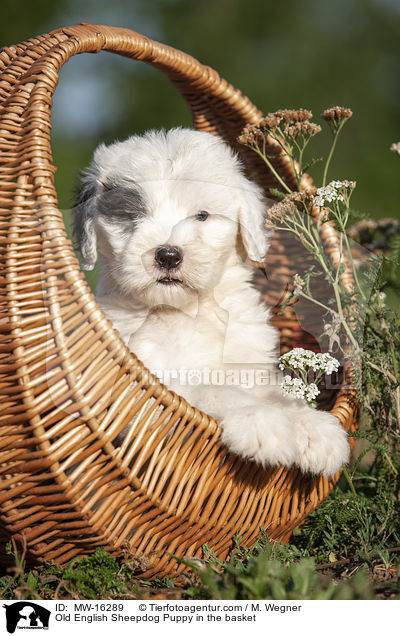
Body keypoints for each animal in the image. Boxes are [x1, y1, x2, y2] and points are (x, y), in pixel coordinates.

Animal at [73, 126, 348, 474]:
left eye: (202, 215)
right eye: (132, 215)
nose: (168, 255)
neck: (182, 313)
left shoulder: (250, 365)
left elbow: (278, 393)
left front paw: (315, 428)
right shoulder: (145, 387)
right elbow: (212, 388)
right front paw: (262, 422)